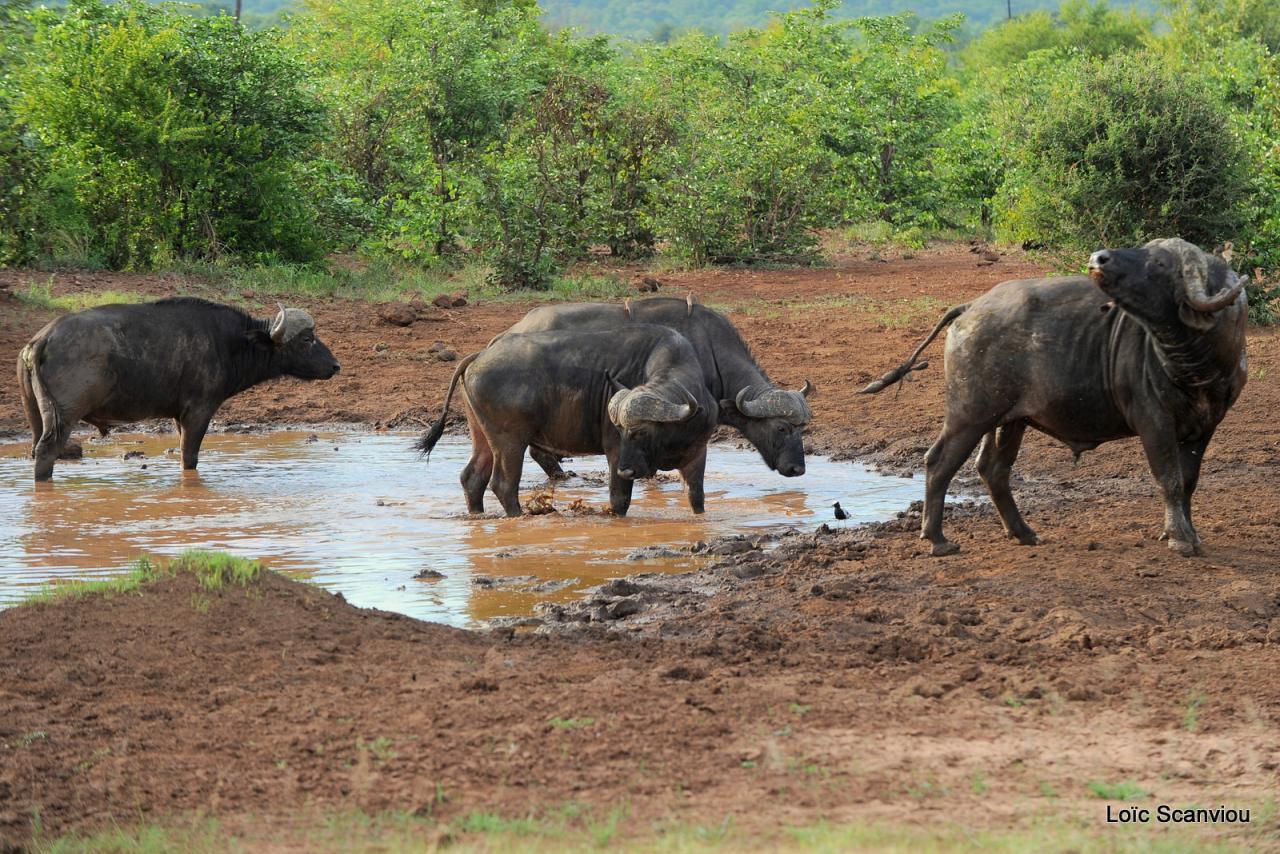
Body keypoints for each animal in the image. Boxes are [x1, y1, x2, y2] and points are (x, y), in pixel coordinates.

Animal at [21, 297, 340, 481]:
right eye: (308, 338)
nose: (336, 365)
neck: (230, 343)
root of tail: (43, 338)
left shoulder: (178, 416)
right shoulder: (199, 412)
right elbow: (190, 457)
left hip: (36, 414)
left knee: (36, 451)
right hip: (64, 417)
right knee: (47, 451)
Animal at [412, 325, 721, 514]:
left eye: (642, 432)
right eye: (620, 430)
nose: (626, 469)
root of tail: (479, 355)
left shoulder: (698, 456)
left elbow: (697, 499)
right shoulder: (614, 454)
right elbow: (619, 501)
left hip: (482, 435)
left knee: (472, 478)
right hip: (510, 440)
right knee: (503, 483)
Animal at [865, 236, 1244, 558]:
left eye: (1161, 262)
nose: (1098, 258)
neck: (1192, 361)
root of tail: (971, 306)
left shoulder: (1207, 425)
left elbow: (1189, 482)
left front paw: (1187, 533)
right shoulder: (1154, 422)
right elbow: (1170, 479)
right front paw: (1179, 539)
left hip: (1009, 420)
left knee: (993, 469)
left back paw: (1023, 532)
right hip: (969, 414)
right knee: (939, 462)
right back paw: (938, 539)